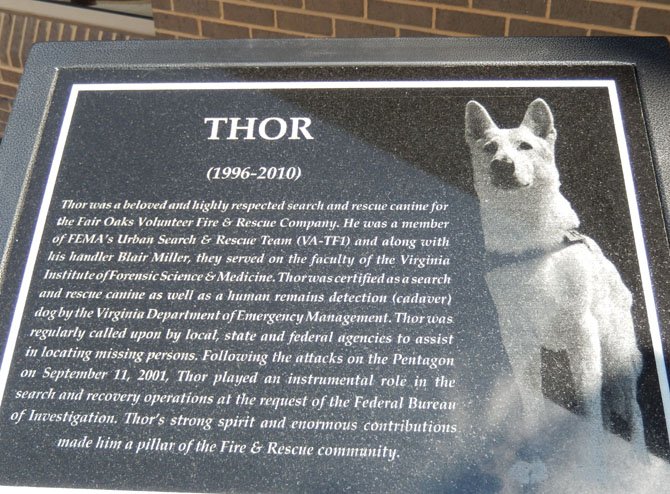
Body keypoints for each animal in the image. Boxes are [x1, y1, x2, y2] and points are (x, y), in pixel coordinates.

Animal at [464, 98, 648, 480]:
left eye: (525, 146)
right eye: (489, 148)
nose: (501, 165)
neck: (529, 244)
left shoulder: (582, 334)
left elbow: (591, 412)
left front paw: (593, 470)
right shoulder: (518, 342)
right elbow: (532, 408)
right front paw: (536, 463)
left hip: (617, 357)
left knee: (632, 411)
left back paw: (637, 465)